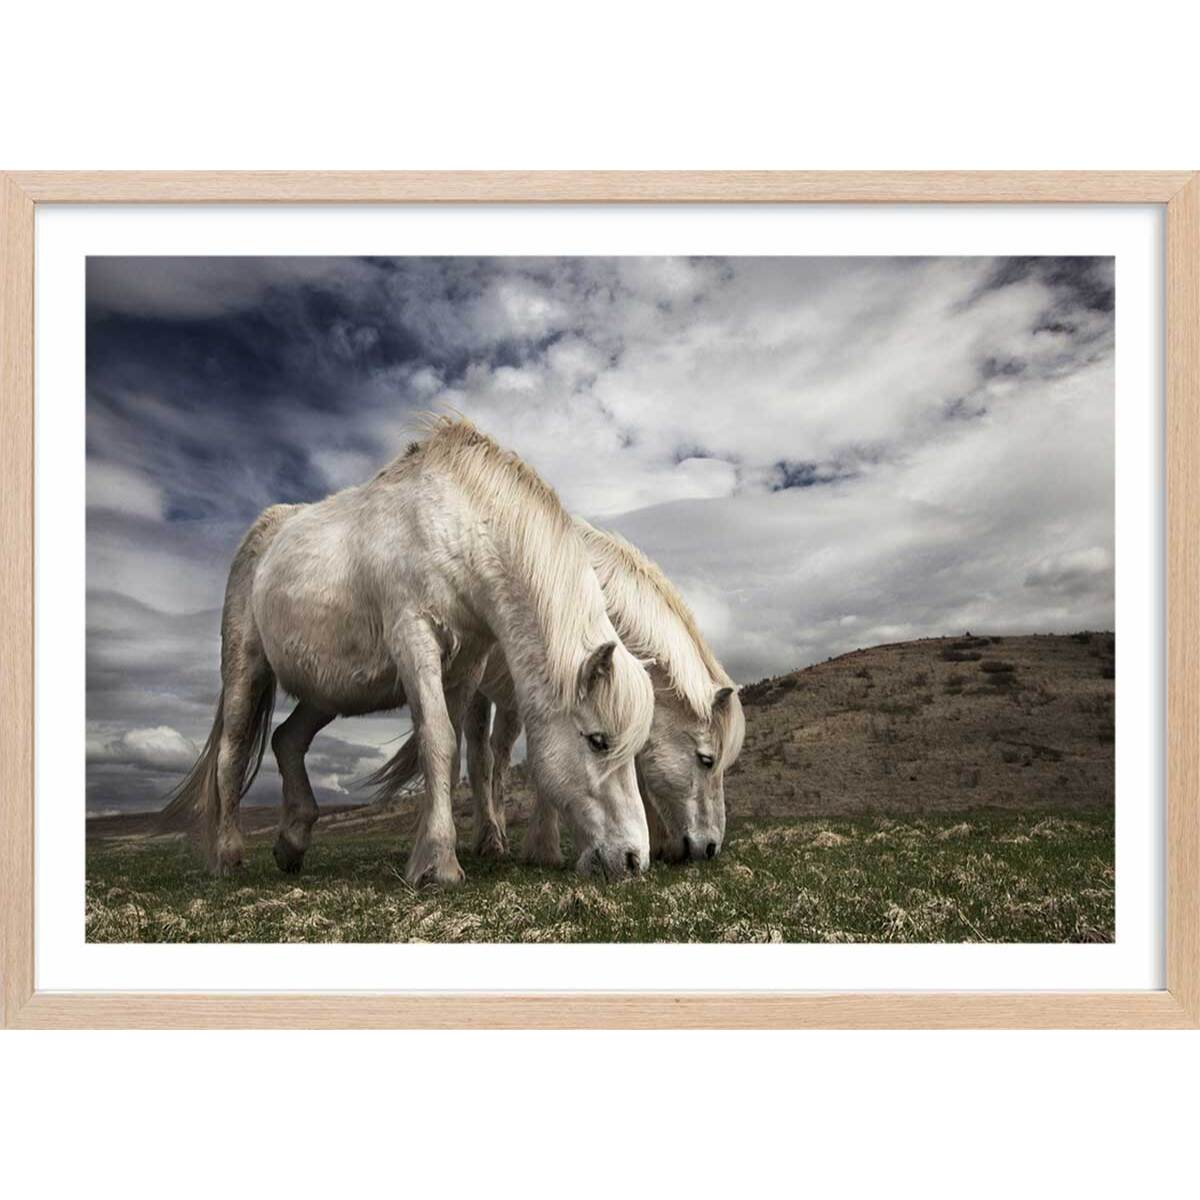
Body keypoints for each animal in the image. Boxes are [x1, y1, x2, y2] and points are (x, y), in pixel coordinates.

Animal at [163, 417, 656, 886]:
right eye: (598, 741)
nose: (633, 860)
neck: (457, 528)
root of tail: (263, 533)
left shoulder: (466, 667)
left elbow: (451, 754)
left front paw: (429, 852)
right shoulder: (415, 639)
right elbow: (437, 740)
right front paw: (439, 864)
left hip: (327, 693)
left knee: (288, 739)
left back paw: (292, 843)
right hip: (245, 669)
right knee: (232, 753)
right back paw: (228, 856)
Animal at [367, 517, 745, 864]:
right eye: (707, 760)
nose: (710, 848)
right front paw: (545, 848)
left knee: (499, 755)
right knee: (478, 755)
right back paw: (487, 839)